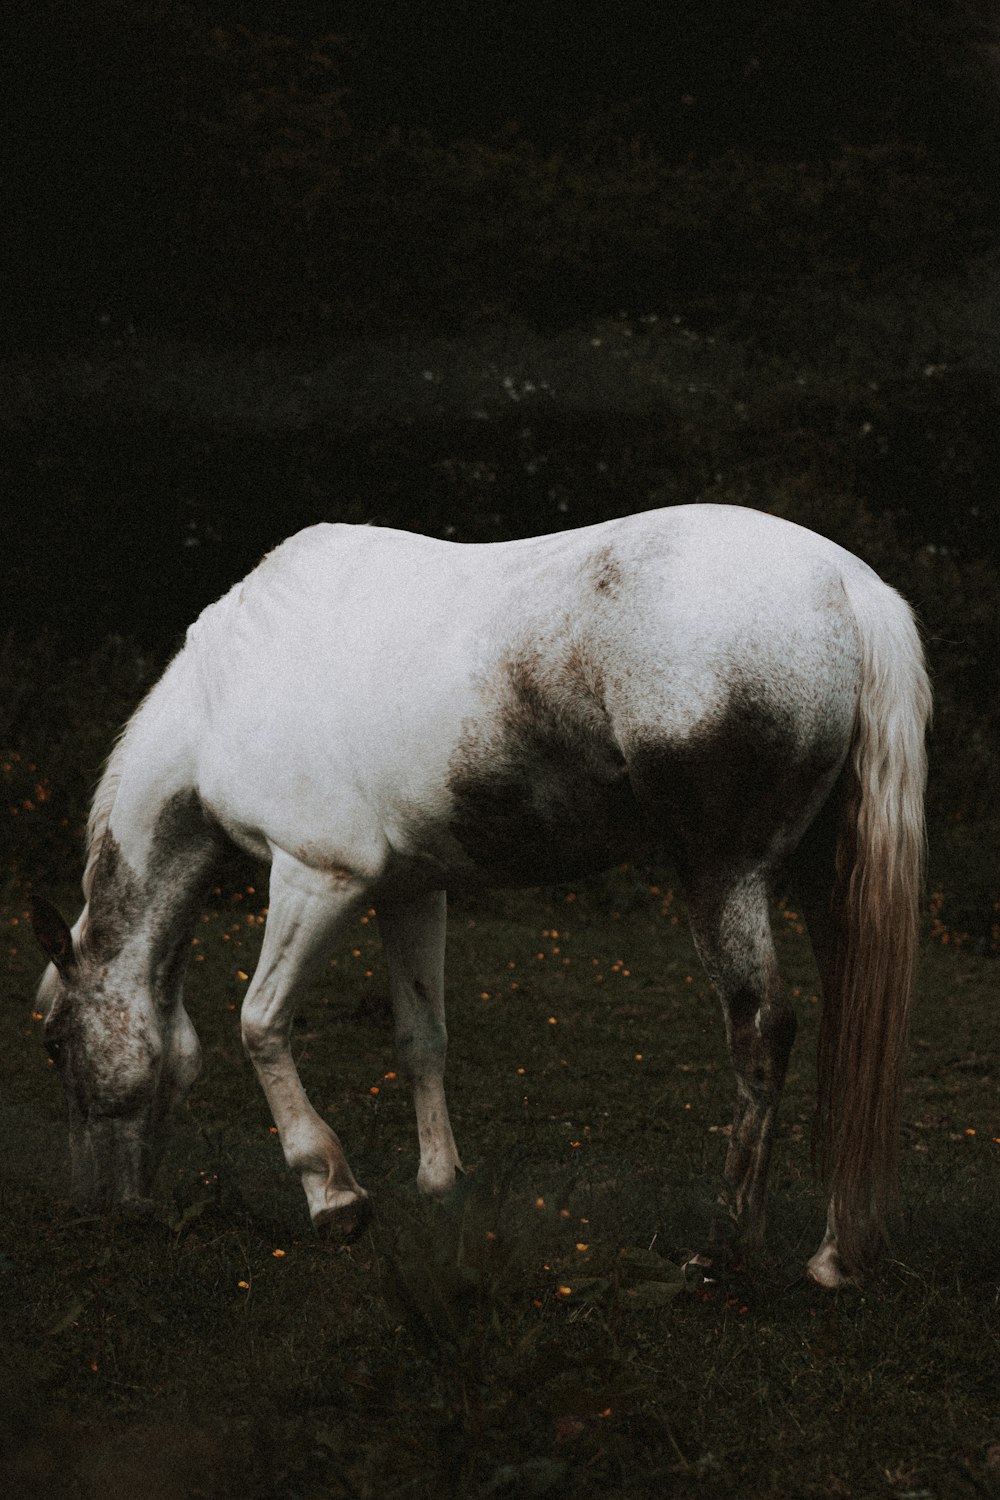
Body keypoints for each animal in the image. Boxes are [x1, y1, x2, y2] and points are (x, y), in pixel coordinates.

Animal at [33, 510, 941, 1284]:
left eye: (54, 1045)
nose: (99, 1211)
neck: (221, 701)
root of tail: (847, 585)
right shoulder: (410, 891)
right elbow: (420, 1038)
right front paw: (441, 1186)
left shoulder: (317, 877)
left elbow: (260, 1024)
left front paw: (334, 1197)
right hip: (825, 882)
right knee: (854, 1025)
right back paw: (834, 1254)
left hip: (724, 874)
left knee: (761, 1029)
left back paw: (726, 1246)